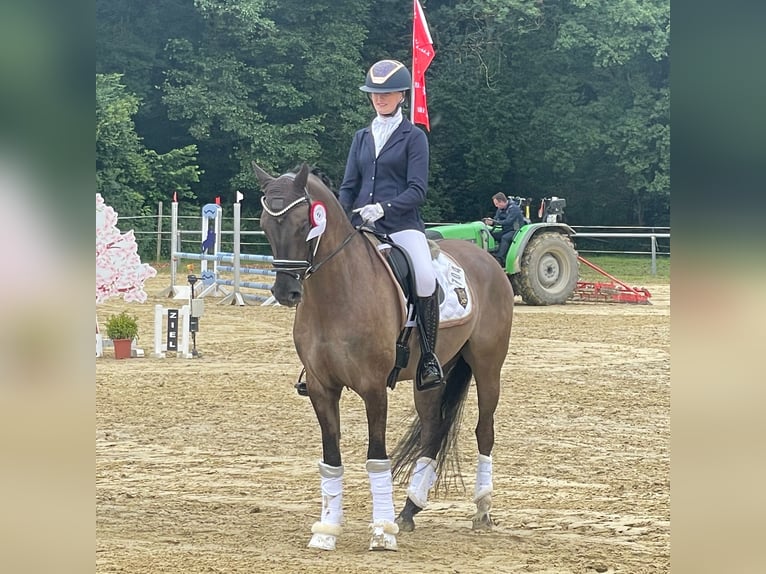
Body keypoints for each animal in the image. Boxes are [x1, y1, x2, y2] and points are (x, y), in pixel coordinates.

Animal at [254, 162, 516, 552]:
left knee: (484, 429)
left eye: (304, 224)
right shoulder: (320, 388)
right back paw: (408, 510)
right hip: (432, 375)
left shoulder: (373, 387)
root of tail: (487, 258)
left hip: (487, 364)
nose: (286, 292)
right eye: (265, 225)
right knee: (433, 430)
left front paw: (381, 532)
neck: (337, 294)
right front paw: (326, 530)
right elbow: (331, 458)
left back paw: (481, 509)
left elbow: (376, 457)